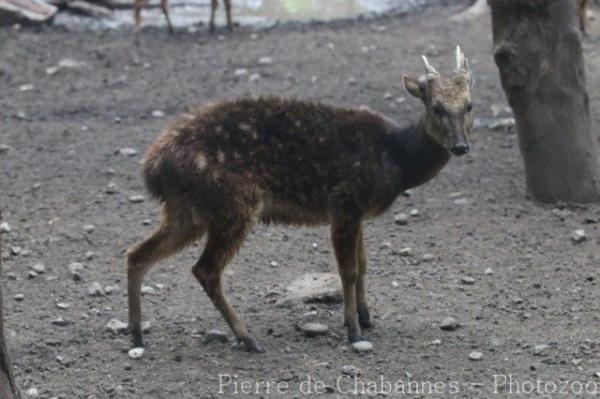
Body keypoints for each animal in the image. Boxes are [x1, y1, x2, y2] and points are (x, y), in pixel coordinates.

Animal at [125, 47, 474, 354]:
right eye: (436, 107)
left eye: (469, 106)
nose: (460, 146)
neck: (396, 161)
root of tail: (153, 167)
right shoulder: (345, 201)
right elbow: (348, 270)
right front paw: (353, 330)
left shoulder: (358, 212)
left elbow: (364, 265)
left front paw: (366, 317)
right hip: (233, 203)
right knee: (205, 269)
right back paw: (247, 337)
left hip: (188, 211)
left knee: (137, 254)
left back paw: (137, 334)